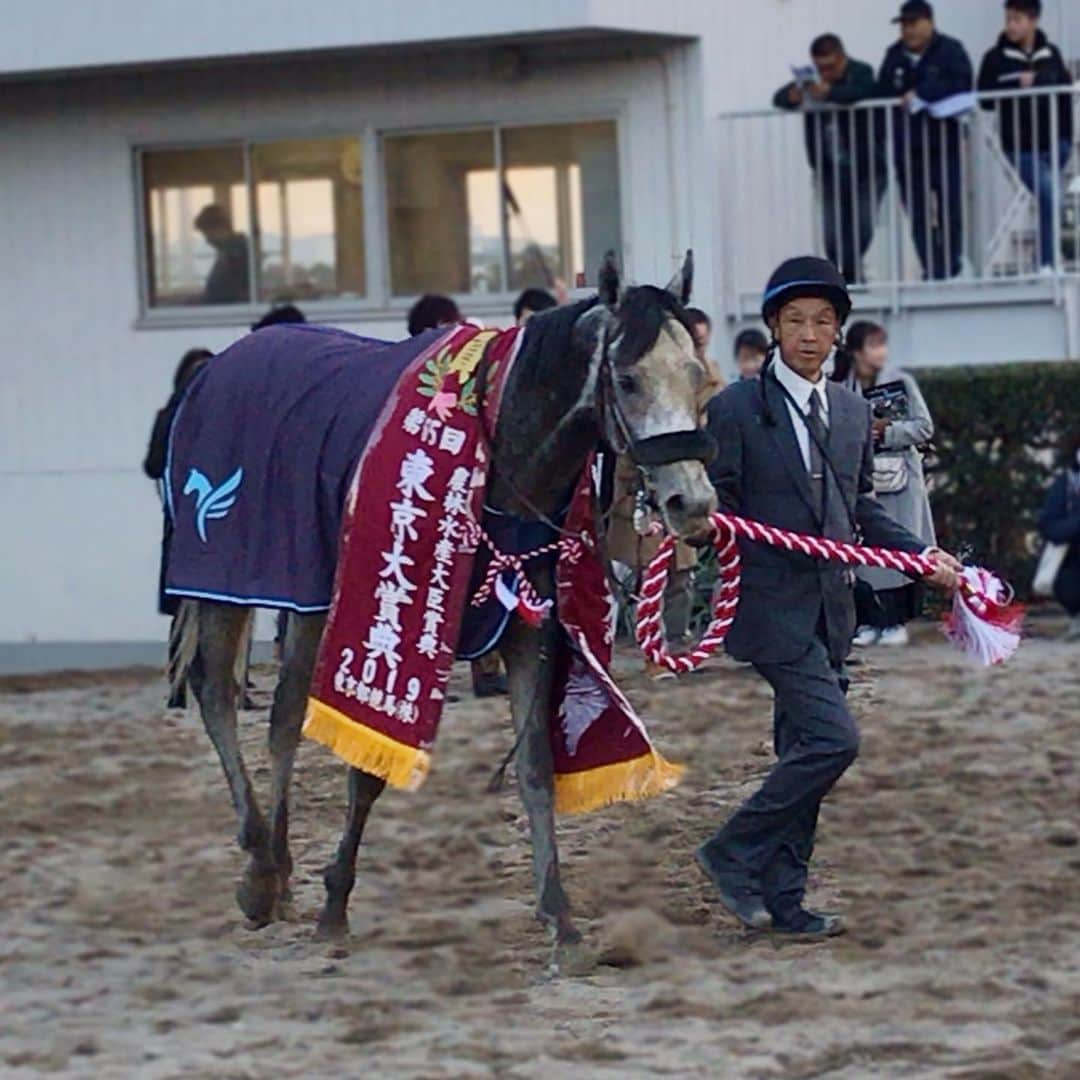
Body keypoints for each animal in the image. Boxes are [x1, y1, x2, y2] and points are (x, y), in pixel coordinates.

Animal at [170, 254, 717, 954]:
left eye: (697, 375)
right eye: (627, 378)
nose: (691, 503)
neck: (495, 453)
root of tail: (219, 367)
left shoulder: (528, 628)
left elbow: (535, 767)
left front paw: (559, 917)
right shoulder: (390, 621)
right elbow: (368, 768)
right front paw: (335, 903)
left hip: (307, 600)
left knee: (285, 719)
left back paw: (280, 869)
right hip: (228, 583)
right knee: (217, 695)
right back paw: (260, 870)